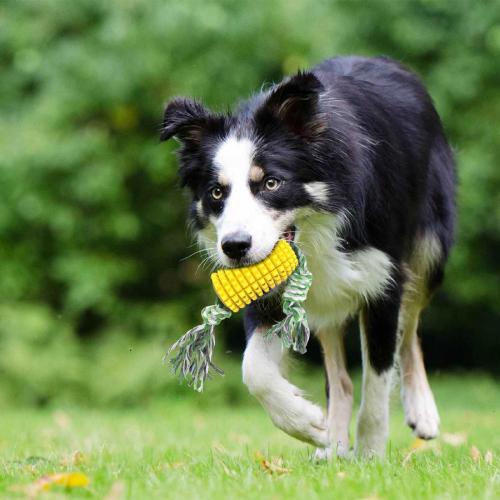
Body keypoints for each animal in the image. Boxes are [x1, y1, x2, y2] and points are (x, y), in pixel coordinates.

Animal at [161, 56, 458, 458]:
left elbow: (378, 381)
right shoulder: (269, 294)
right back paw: (331, 444)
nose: (235, 247)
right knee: (341, 377)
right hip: (324, 298)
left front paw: (371, 456)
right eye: (217, 192)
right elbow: (254, 370)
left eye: (271, 183)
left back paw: (421, 412)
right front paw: (306, 424)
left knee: (409, 328)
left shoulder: (384, 280)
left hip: (428, 249)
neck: (317, 231)